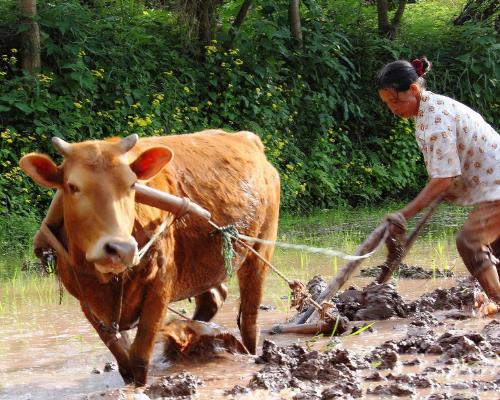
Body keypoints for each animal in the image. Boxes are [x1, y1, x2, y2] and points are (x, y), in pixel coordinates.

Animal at [19, 130, 280, 386]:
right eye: (73, 186)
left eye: (132, 184)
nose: (120, 249)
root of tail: (249, 138)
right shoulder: (87, 302)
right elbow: (123, 358)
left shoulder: (159, 287)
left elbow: (139, 357)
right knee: (213, 297)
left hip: (260, 249)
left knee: (249, 318)